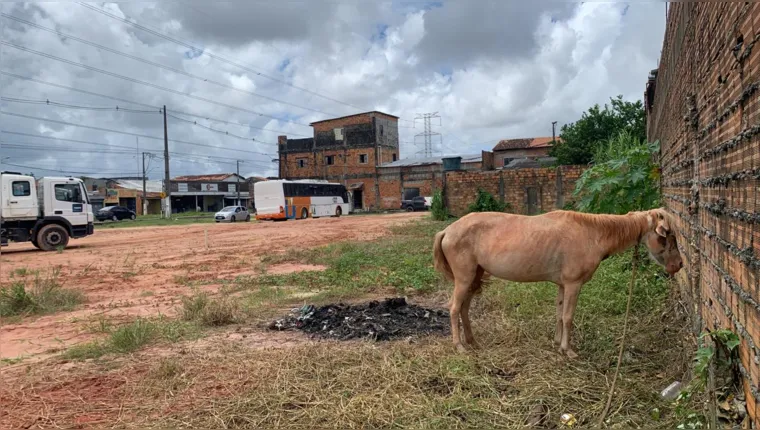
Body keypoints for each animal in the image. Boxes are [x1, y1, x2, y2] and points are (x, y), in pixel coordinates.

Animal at [430, 207, 684, 358]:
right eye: (667, 236)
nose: (679, 265)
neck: (592, 233)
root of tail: (448, 230)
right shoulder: (573, 284)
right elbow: (569, 317)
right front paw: (567, 349)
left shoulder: (562, 285)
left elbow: (559, 314)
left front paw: (556, 342)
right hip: (464, 278)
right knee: (454, 308)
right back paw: (459, 346)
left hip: (474, 277)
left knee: (464, 308)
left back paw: (472, 341)